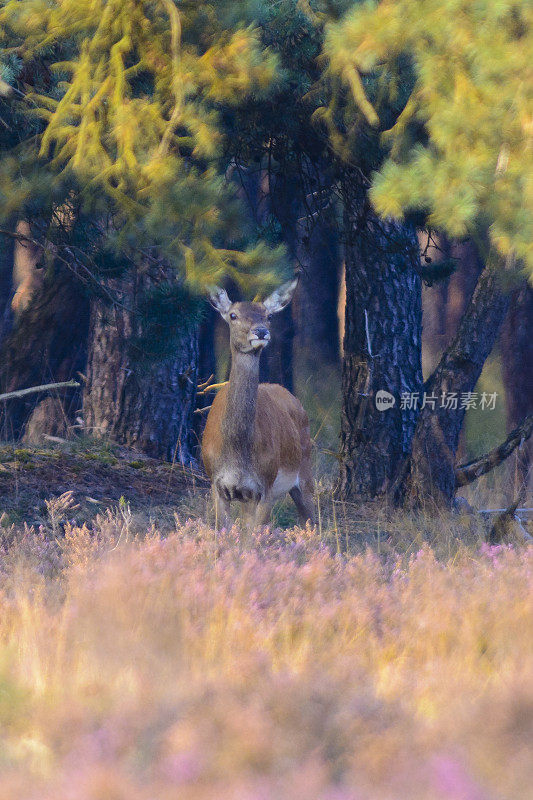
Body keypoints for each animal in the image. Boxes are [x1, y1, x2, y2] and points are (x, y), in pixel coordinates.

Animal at [202, 278, 314, 528]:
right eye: (233, 315)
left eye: (268, 315)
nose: (261, 331)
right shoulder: (216, 484)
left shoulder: (265, 486)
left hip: (306, 469)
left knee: (311, 520)